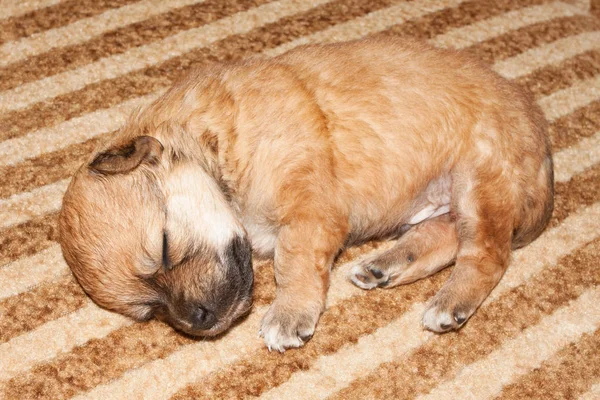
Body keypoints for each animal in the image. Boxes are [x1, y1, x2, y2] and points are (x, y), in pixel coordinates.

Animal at [59, 36, 552, 350]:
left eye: (164, 249)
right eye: (149, 311)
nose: (200, 320)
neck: (212, 146)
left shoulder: (310, 209)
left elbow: (292, 259)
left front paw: (289, 313)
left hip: (480, 181)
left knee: (487, 254)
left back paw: (450, 303)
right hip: (452, 199)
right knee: (445, 236)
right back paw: (385, 266)